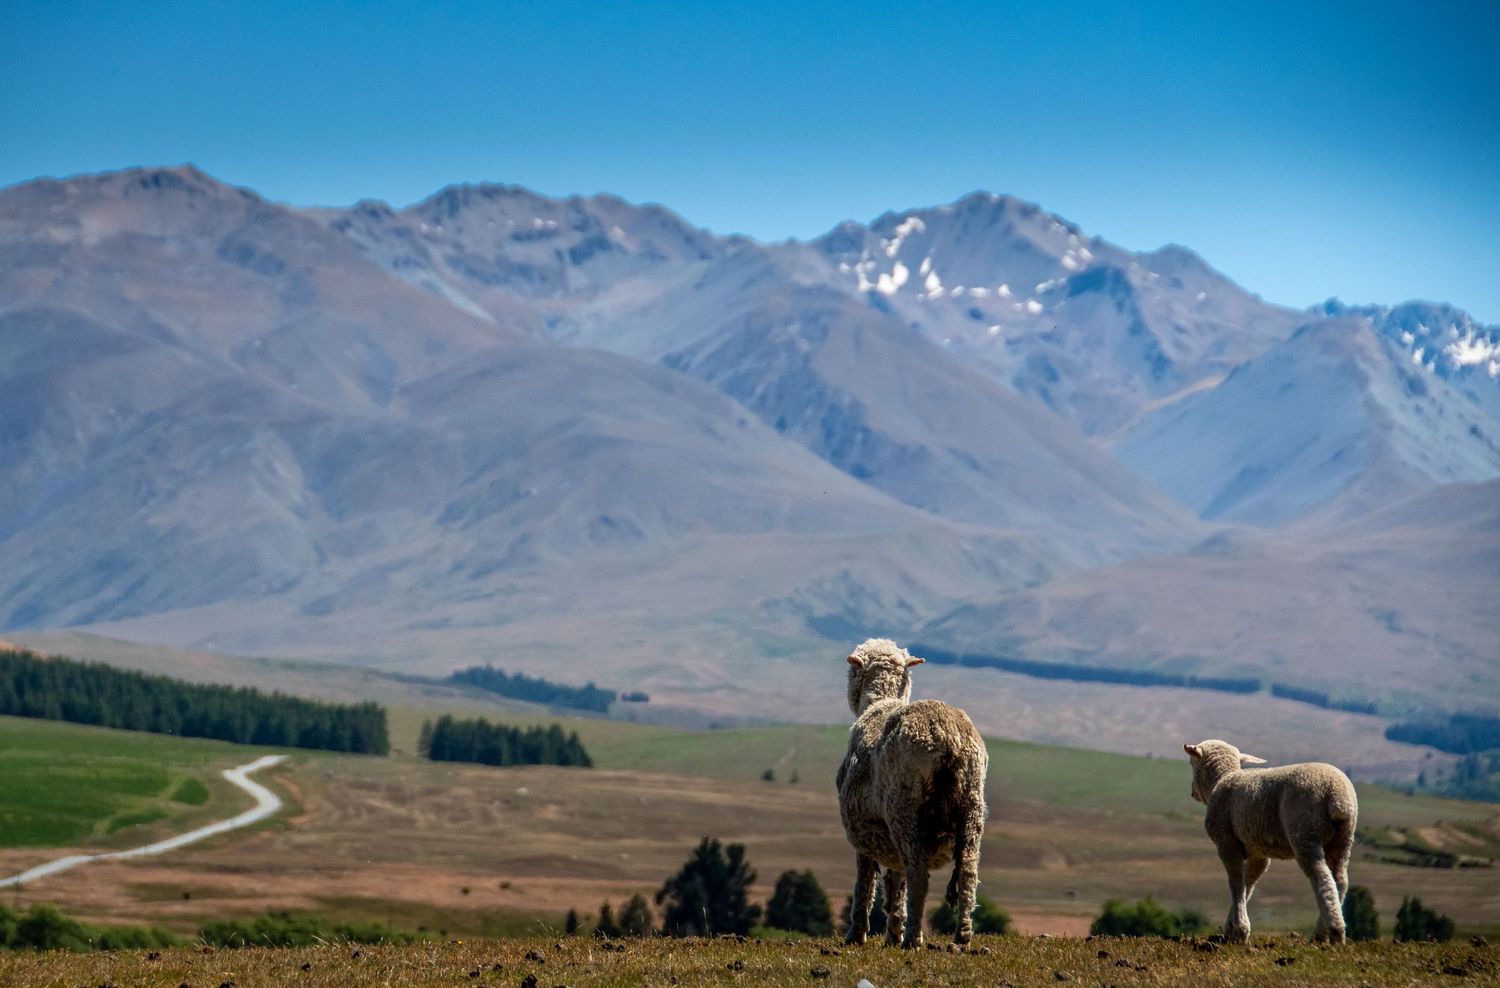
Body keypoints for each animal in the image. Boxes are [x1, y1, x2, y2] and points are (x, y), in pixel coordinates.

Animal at [836, 638, 989, 949]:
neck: (879, 703)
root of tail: (947, 736)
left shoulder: (864, 834)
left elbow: (865, 885)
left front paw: (857, 935)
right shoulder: (888, 842)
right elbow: (895, 883)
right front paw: (892, 932)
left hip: (905, 811)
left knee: (919, 874)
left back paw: (913, 939)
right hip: (972, 806)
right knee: (967, 873)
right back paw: (962, 937)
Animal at [1184, 739, 1358, 944]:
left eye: (1191, 762)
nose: (1192, 792)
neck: (1221, 780)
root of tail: (1337, 796)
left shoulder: (1226, 842)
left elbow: (1236, 883)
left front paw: (1240, 930)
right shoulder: (1258, 853)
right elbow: (1248, 884)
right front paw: (1231, 929)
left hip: (1305, 832)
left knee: (1322, 877)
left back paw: (1329, 933)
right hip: (1343, 838)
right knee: (1340, 880)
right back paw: (1328, 929)